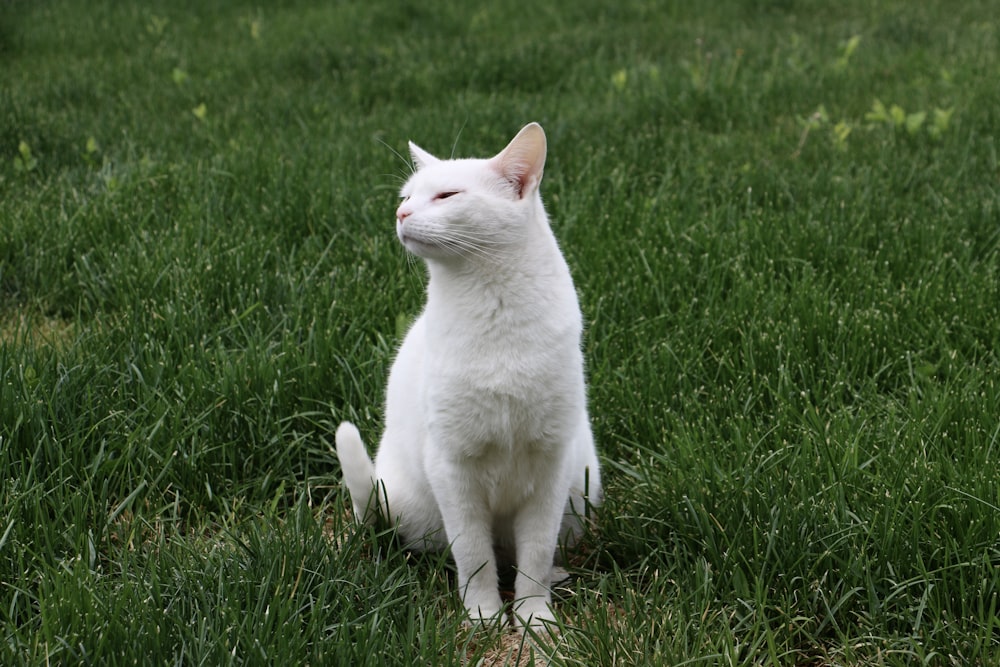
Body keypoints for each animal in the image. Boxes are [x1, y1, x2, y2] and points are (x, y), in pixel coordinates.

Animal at [336, 121, 600, 632]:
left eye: (446, 195)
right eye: (408, 195)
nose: (400, 213)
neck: (494, 308)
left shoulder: (550, 465)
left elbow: (535, 555)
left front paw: (535, 619)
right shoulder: (453, 469)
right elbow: (474, 556)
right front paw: (483, 616)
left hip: (581, 491)